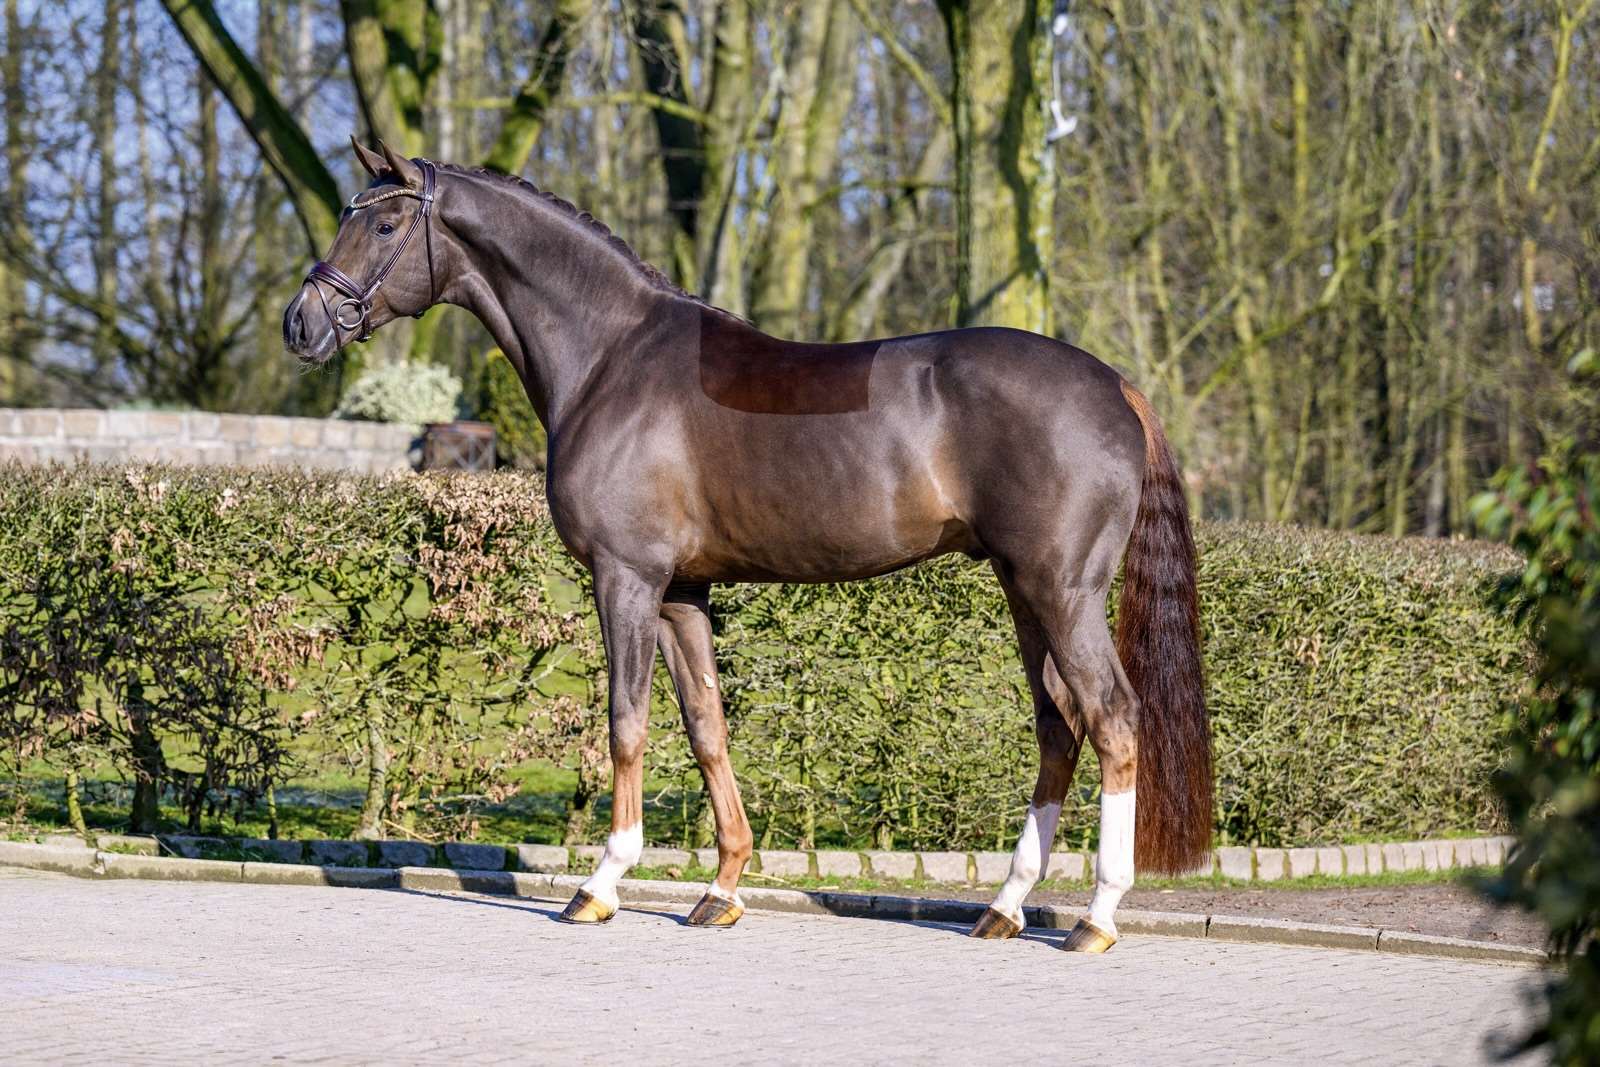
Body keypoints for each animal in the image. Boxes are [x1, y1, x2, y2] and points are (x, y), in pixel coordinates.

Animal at [283, 140, 1212, 953]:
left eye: (385, 224)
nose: (302, 324)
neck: (611, 357)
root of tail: (1115, 385)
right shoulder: (680, 593)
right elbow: (706, 726)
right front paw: (722, 887)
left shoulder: (626, 578)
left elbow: (626, 722)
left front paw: (600, 884)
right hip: (1024, 591)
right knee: (1058, 725)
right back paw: (1006, 905)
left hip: (1062, 590)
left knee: (1112, 718)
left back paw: (1097, 915)